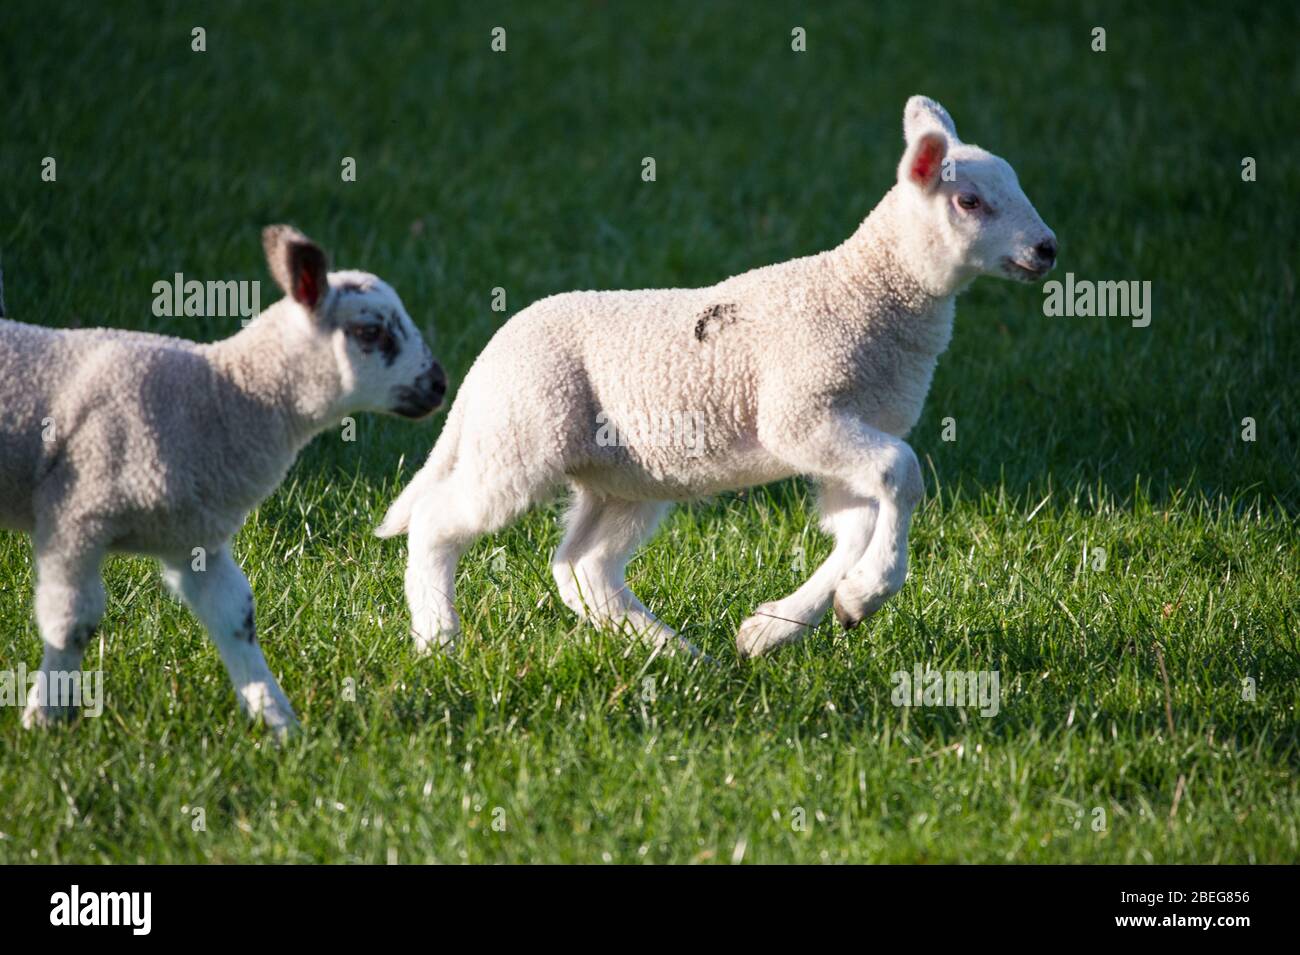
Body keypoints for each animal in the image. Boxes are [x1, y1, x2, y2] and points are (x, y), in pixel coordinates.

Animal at [1, 223, 447, 732]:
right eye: (371, 331)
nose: (439, 384)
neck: (224, 395)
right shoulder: (75, 512)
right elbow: (71, 622)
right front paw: (45, 718)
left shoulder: (195, 537)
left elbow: (237, 618)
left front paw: (279, 723)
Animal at [379, 98, 1055, 665]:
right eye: (970, 203)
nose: (1047, 249)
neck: (866, 291)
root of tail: (486, 361)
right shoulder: (801, 413)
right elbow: (900, 473)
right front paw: (866, 592)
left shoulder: (850, 425)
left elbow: (859, 520)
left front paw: (781, 625)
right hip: (522, 433)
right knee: (437, 523)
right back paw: (439, 640)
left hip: (624, 472)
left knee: (582, 567)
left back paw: (678, 655)